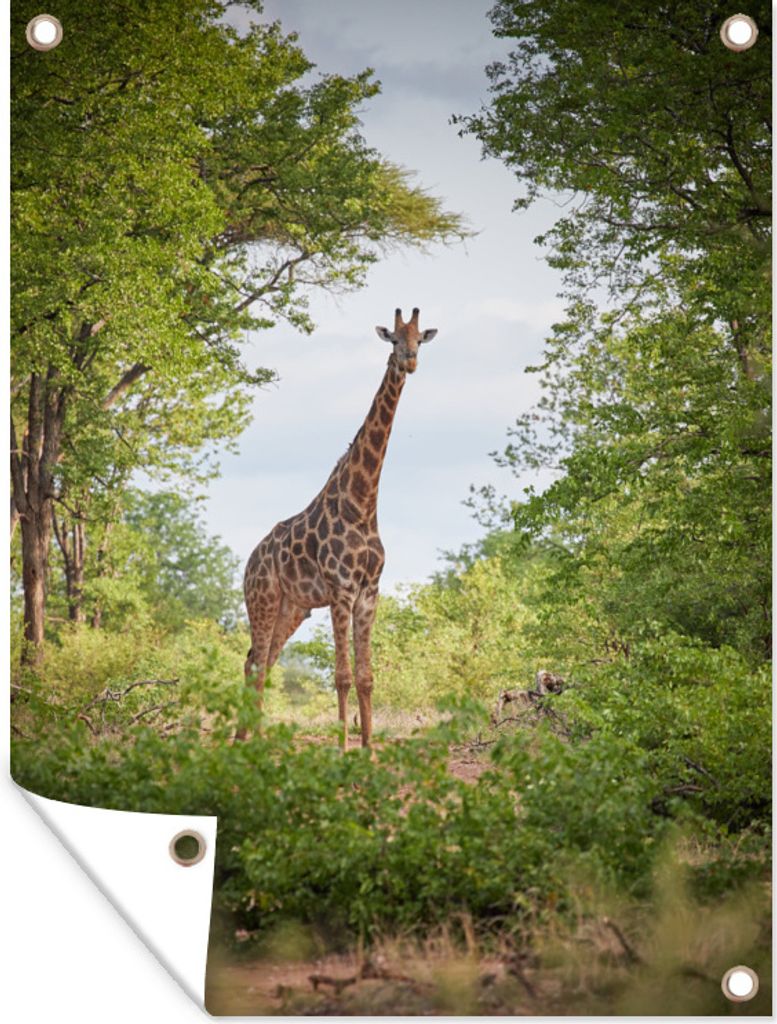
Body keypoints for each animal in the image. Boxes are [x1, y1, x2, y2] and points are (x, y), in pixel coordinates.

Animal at [242, 307, 438, 748]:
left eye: (419, 339)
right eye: (394, 340)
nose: (411, 362)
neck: (362, 505)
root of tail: (248, 563)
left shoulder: (369, 593)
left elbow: (366, 677)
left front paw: (367, 748)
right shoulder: (341, 590)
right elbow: (343, 676)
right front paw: (343, 747)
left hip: (291, 608)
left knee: (258, 662)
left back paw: (245, 738)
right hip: (262, 600)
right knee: (257, 664)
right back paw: (250, 741)